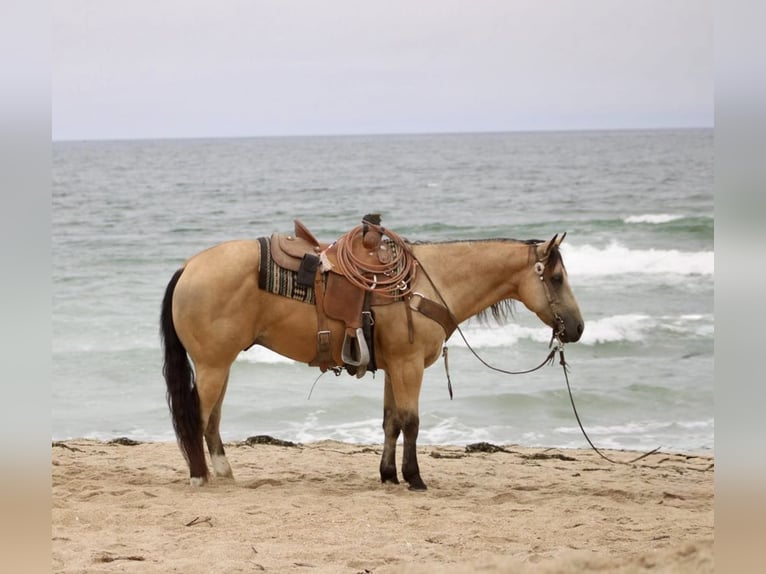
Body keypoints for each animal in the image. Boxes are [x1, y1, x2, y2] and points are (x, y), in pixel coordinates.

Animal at [160, 226, 584, 490]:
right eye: (557, 278)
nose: (577, 328)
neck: (427, 284)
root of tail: (189, 266)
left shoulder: (395, 367)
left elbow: (390, 423)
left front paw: (389, 475)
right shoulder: (409, 366)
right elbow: (411, 422)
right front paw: (414, 478)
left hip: (221, 366)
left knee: (211, 421)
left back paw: (222, 471)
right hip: (213, 366)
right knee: (197, 418)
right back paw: (199, 475)